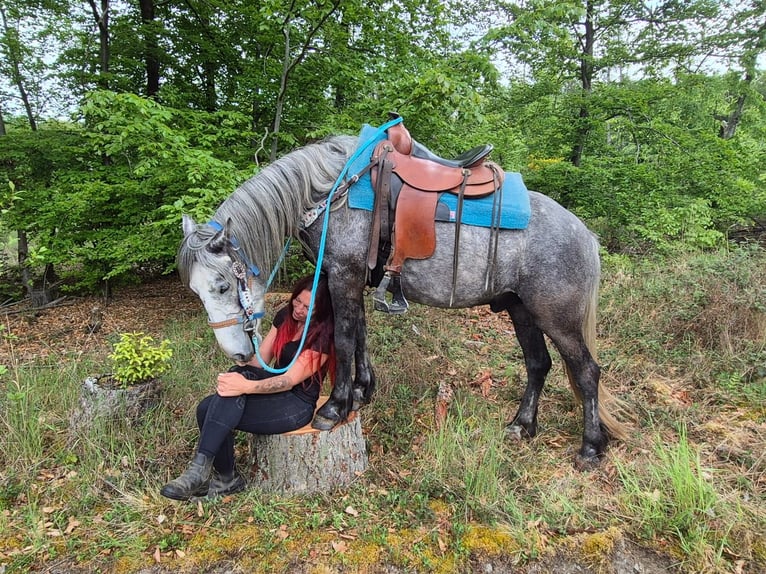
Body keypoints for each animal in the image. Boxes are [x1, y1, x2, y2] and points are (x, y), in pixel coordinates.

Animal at [177, 129, 628, 466]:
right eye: (196, 290)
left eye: (221, 286)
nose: (238, 355)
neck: (331, 193)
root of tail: (585, 235)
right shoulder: (352, 278)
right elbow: (359, 333)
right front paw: (361, 393)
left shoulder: (342, 274)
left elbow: (344, 337)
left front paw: (334, 407)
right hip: (521, 310)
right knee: (538, 364)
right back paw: (522, 425)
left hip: (557, 317)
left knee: (586, 372)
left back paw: (590, 447)